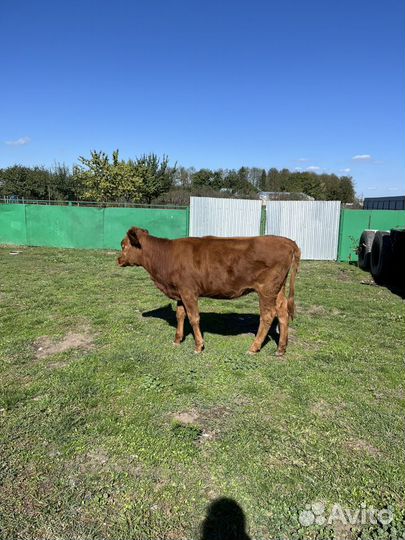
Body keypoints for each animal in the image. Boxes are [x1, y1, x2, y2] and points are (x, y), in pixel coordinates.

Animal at [117, 227, 300, 356]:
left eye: (123, 245)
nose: (118, 259)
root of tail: (286, 241)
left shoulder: (188, 291)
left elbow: (194, 318)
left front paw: (199, 346)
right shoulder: (180, 292)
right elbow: (180, 315)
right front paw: (177, 340)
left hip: (266, 290)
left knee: (268, 316)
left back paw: (253, 348)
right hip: (278, 289)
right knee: (282, 312)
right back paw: (280, 349)